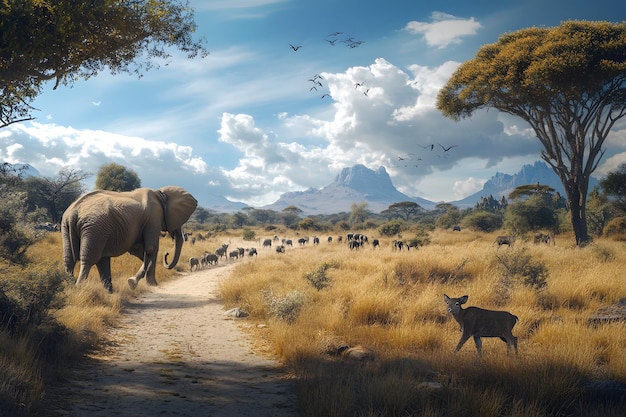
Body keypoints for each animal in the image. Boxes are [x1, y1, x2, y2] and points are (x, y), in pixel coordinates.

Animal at [60, 187, 197, 290]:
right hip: (94, 228)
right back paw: (79, 288)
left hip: (68, 227)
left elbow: (141, 251)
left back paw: (72, 287)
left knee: (71, 260)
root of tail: (74, 212)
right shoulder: (153, 218)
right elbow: (151, 248)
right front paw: (147, 284)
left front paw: (136, 282)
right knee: (89, 260)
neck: (160, 193)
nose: (167, 253)